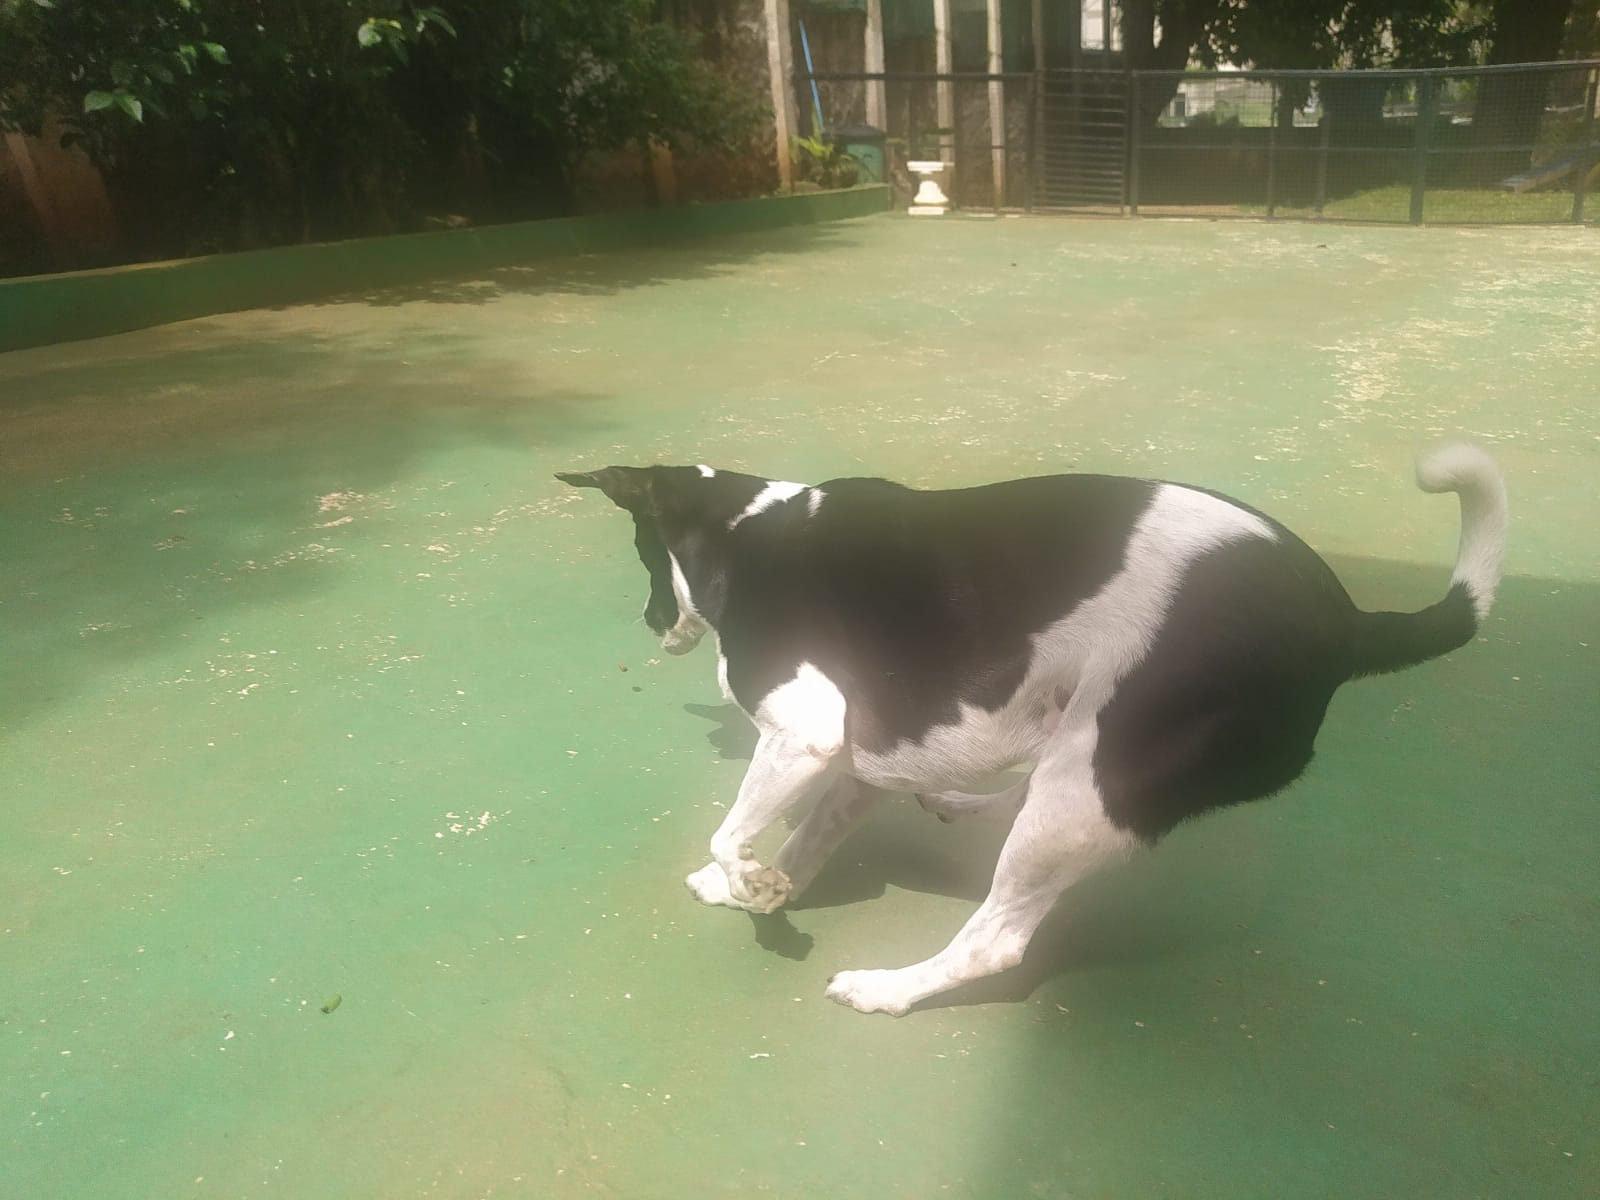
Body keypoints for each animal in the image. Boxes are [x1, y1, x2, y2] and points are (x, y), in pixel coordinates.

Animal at [558, 446, 1507, 1015]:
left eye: (642, 555)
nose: (651, 621)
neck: (748, 528)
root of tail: (1349, 623)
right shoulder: (856, 765)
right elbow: (803, 841)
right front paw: (759, 887)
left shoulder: (807, 732)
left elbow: (735, 830)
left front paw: (744, 880)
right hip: (1077, 768)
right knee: (1003, 810)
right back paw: (957, 803)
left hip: (1089, 786)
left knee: (997, 941)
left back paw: (890, 989)